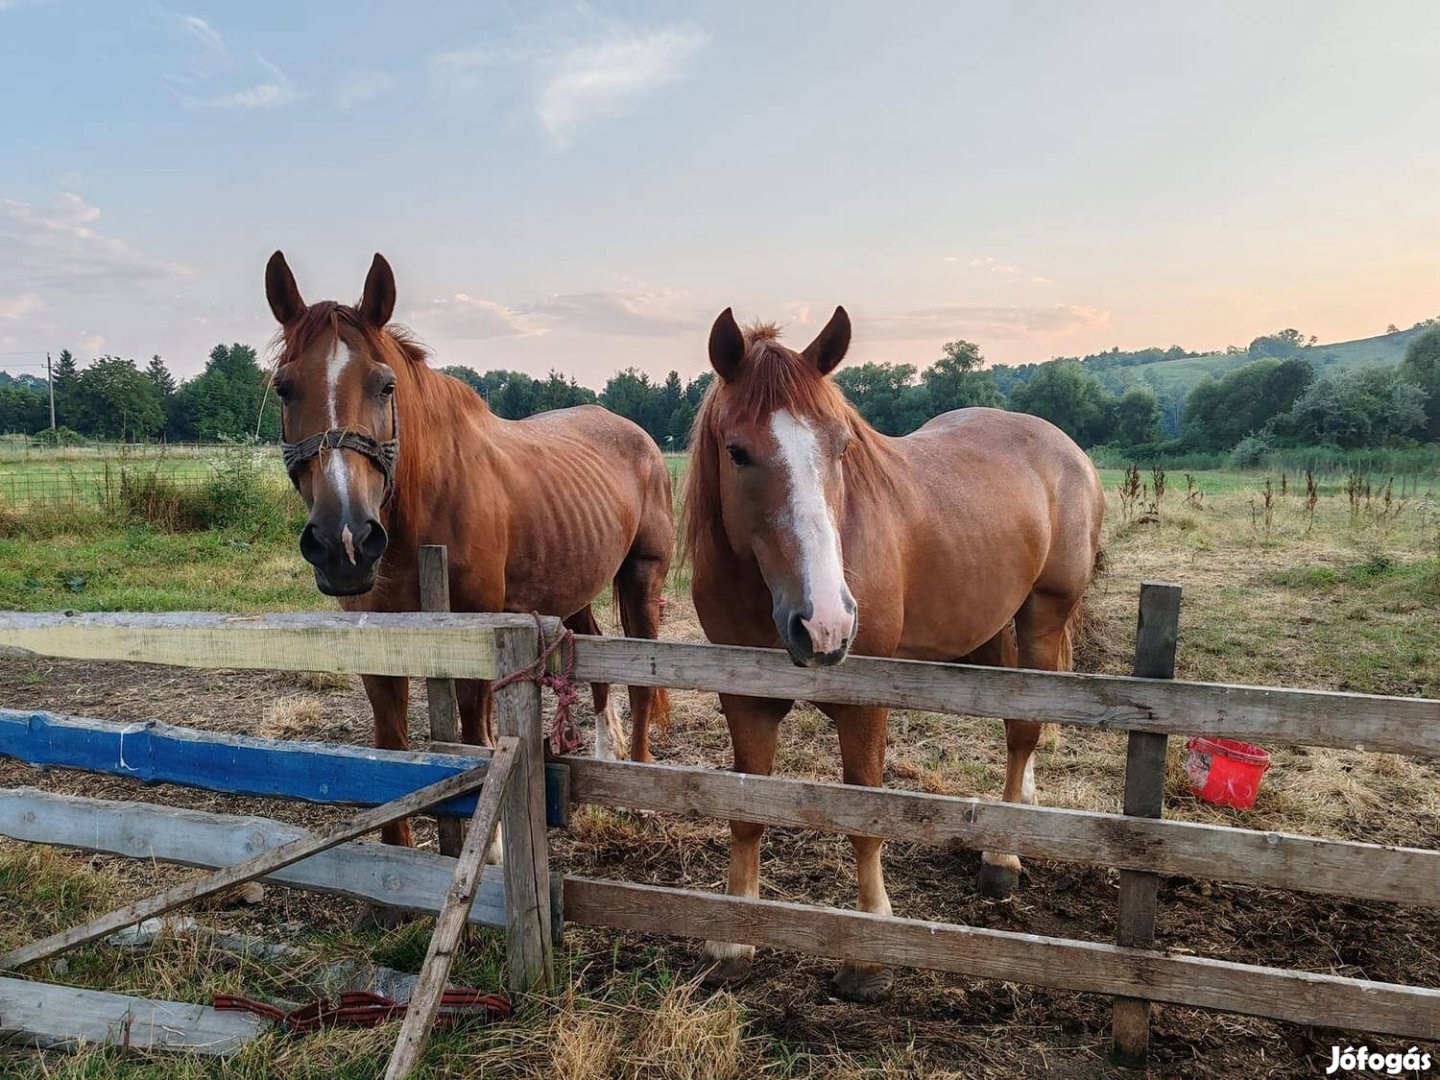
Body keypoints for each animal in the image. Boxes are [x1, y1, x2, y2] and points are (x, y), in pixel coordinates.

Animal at [267, 253, 671, 852]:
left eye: (386, 386)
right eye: (284, 388)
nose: (345, 541)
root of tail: (639, 437)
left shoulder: (478, 635)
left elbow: (476, 736)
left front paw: (497, 844)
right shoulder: (379, 647)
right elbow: (390, 748)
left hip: (643, 579)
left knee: (642, 679)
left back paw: (638, 791)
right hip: (575, 583)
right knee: (596, 661)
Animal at [682, 308, 1100, 1002]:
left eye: (840, 447)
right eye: (737, 451)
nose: (824, 624)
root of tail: (1064, 446)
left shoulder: (865, 702)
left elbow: (865, 815)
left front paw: (868, 953)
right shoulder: (744, 698)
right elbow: (746, 811)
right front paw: (731, 940)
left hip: (1044, 614)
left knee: (1024, 730)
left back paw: (1004, 858)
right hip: (991, 629)